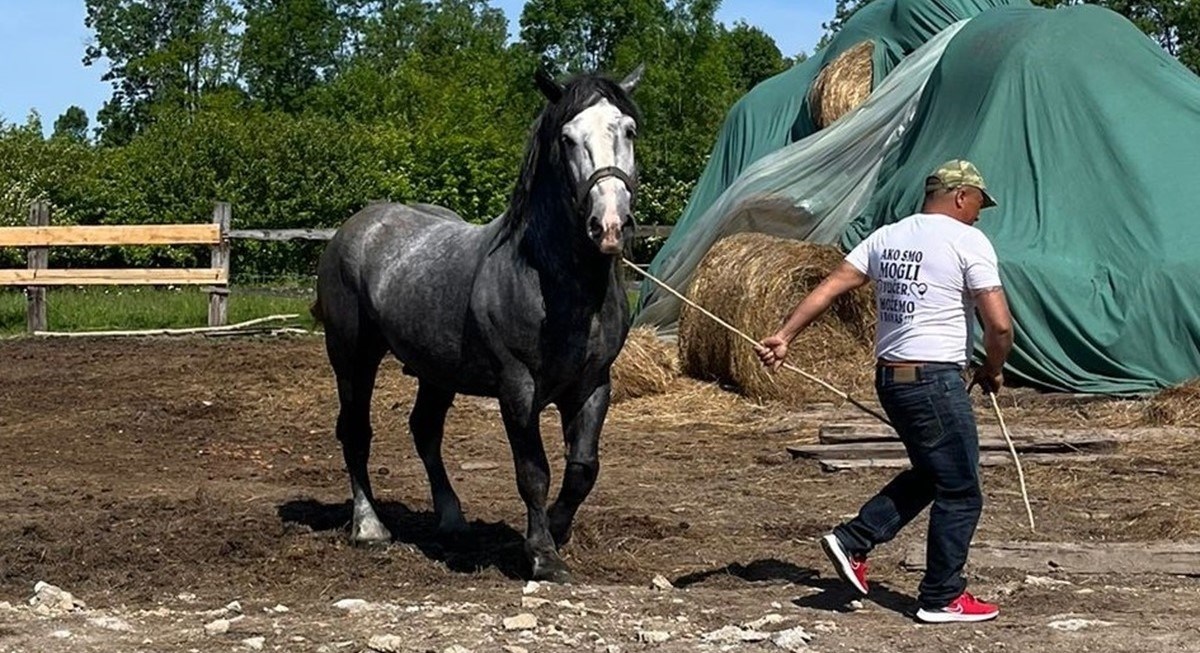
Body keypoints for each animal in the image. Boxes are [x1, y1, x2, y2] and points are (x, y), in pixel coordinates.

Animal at [314, 63, 643, 578]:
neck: (555, 282)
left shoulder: (593, 385)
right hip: (352, 357)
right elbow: (533, 471)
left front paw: (556, 529)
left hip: (435, 371)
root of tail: (358, 226)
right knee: (355, 432)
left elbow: (582, 470)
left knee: (425, 430)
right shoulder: (517, 387)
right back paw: (369, 528)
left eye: (628, 130)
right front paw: (542, 555)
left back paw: (453, 521)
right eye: (567, 138)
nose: (608, 225)